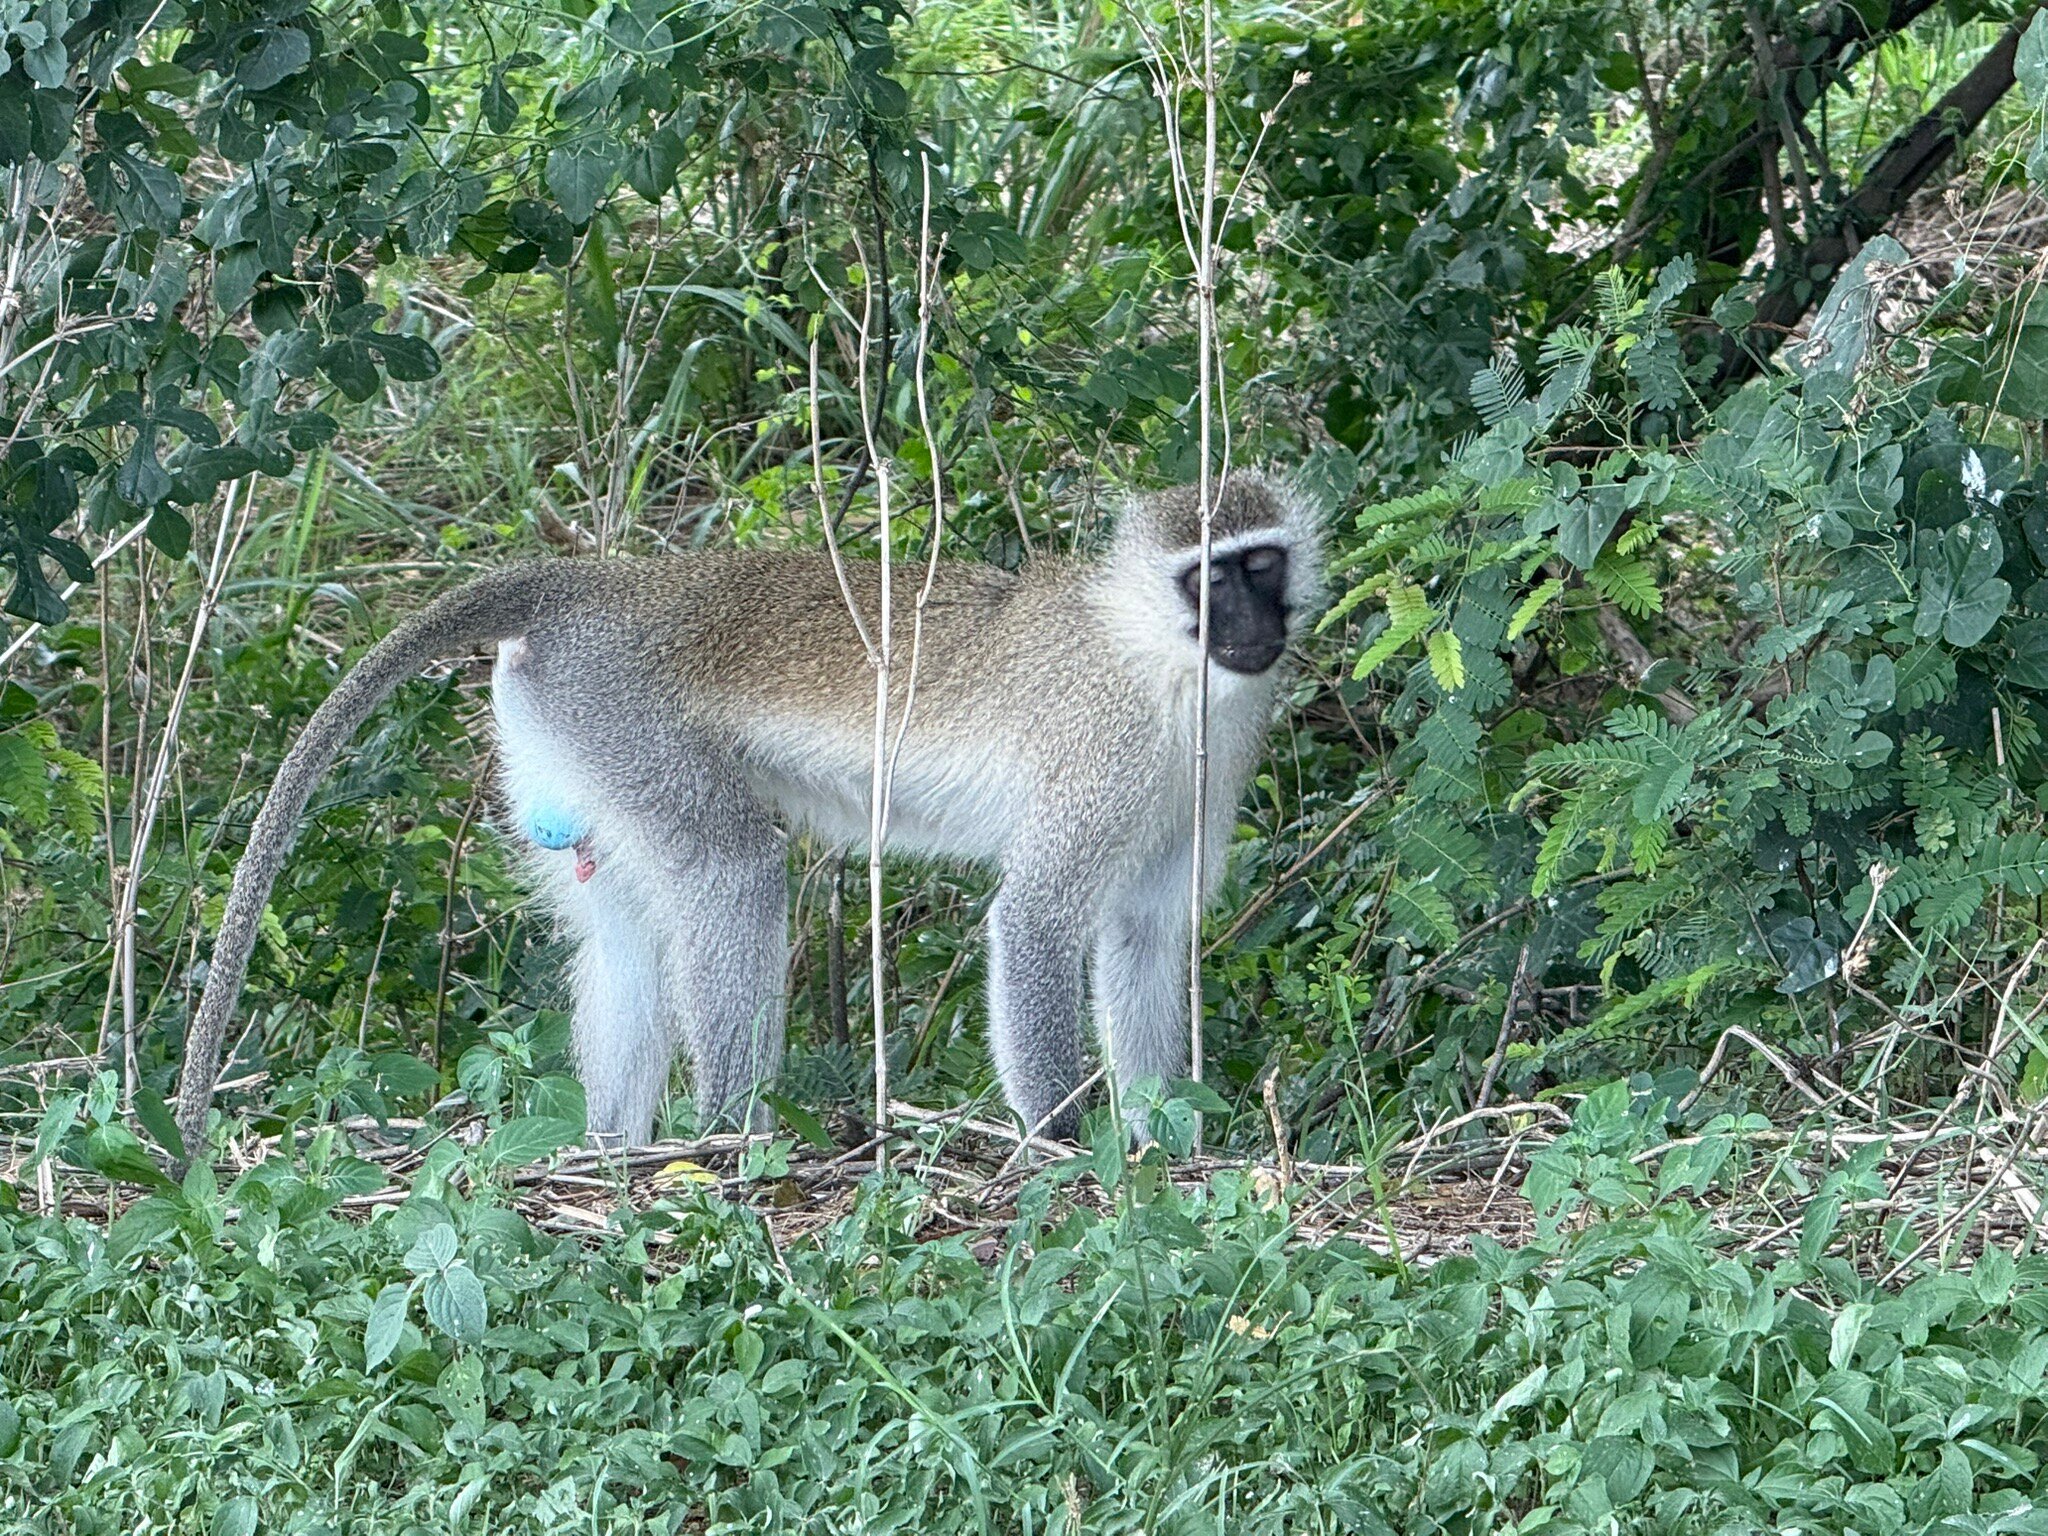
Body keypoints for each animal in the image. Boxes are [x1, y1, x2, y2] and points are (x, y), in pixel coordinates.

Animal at [172, 470, 1323, 1153]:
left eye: (1261, 564)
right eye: (1207, 577)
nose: (1256, 625)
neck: (1157, 664)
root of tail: (598, 588)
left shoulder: (1201, 766)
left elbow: (1143, 933)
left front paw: (1167, 1138)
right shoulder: (1102, 752)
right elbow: (1037, 922)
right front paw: (1065, 1147)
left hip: (563, 739)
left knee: (625, 932)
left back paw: (613, 1152)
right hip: (621, 715)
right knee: (733, 875)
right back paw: (727, 1140)